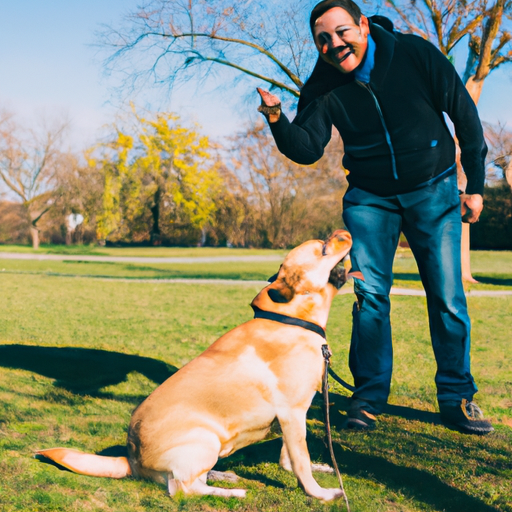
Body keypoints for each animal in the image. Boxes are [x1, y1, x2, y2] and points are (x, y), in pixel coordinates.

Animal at [36, 230, 360, 502]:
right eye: (323, 248)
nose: (344, 231)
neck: (292, 320)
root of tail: (132, 459)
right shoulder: (292, 413)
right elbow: (300, 462)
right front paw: (321, 494)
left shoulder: (294, 416)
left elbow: (290, 458)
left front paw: (318, 470)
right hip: (205, 441)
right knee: (182, 489)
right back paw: (230, 492)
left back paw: (223, 475)